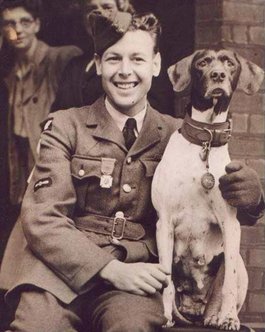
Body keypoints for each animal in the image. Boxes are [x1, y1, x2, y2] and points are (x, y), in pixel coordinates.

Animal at [152, 49, 262, 330]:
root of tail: (195, 310)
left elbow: (228, 285)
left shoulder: (231, 225)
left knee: (224, 287)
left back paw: (216, 316)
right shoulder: (164, 223)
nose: (218, 76)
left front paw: (229, 318)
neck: (205, 143)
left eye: (230, 63)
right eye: (202, 63)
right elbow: (166, 281)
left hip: (239, 264)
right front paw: (164, 316)